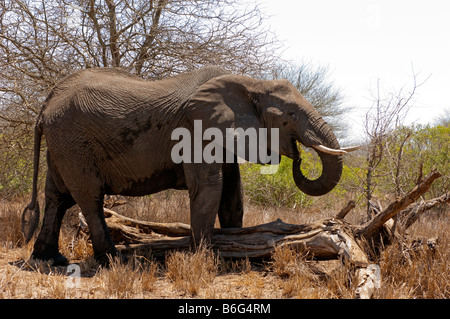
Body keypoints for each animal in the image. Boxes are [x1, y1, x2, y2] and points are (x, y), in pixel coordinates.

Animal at [22, 66, 358, 266]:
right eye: (288, 116)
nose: (298, 154)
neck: (250, 82)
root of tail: (46, 103)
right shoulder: (196, 129)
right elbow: (210, 188)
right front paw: (206, 258)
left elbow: (233, 194)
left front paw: (236, 247)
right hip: (73, 142)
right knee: (89, 197)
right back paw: (112, 261)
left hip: (62, 144)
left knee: (57, 197)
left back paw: (50, 259)